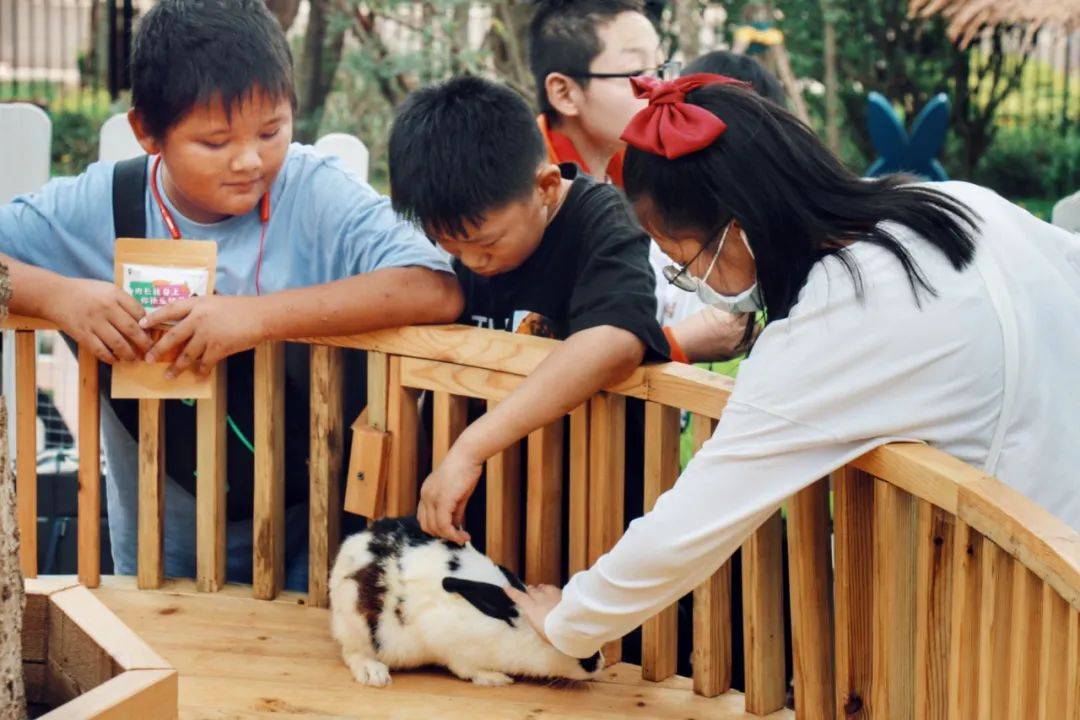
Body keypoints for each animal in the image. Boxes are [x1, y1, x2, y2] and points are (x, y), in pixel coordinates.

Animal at [328, 518, 604, 686]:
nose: (600, 663)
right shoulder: (453, 647)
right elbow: (467, 669)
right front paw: (496, 678)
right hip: (358, 627)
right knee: (352, 653)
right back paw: (374, 674)